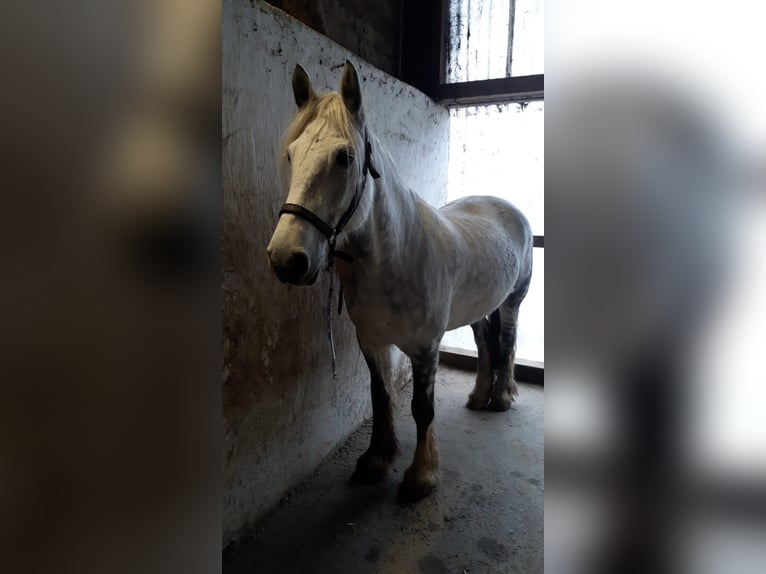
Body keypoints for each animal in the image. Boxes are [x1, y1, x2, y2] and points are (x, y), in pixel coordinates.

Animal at [268, 63, 532, 502]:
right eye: (291, 154)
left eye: (345, 158)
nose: (286, 260)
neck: (395, 258)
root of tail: (507, 208)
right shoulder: (373, 342)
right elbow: (381, 398)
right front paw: (376, 460)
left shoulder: (425, 348)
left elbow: (421, 409)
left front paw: (421, 476)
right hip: (479, 308)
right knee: (484, 344)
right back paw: (479, 396)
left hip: (512, 301)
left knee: (507, 343)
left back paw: (501, 397)